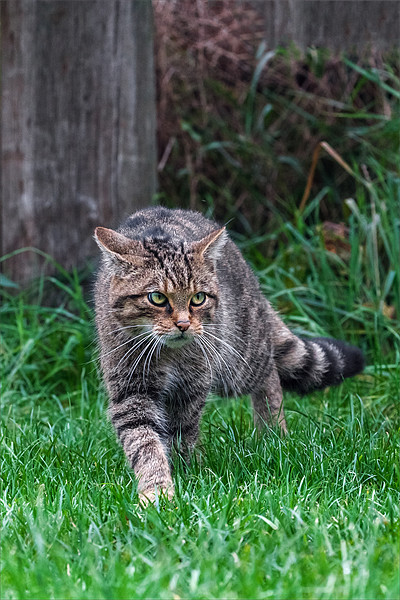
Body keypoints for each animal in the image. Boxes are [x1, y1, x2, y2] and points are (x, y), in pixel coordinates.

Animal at [94, 206, 366, 502]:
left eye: (198, 298)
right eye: (157, 298)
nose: (183, 324)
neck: (168, 356)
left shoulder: (191, 388)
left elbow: (182, 433)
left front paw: (184, 470)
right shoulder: (131, 391)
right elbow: (145, 443)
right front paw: (157, 490)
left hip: (239, 362)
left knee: (270, 375)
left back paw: (273, 434)